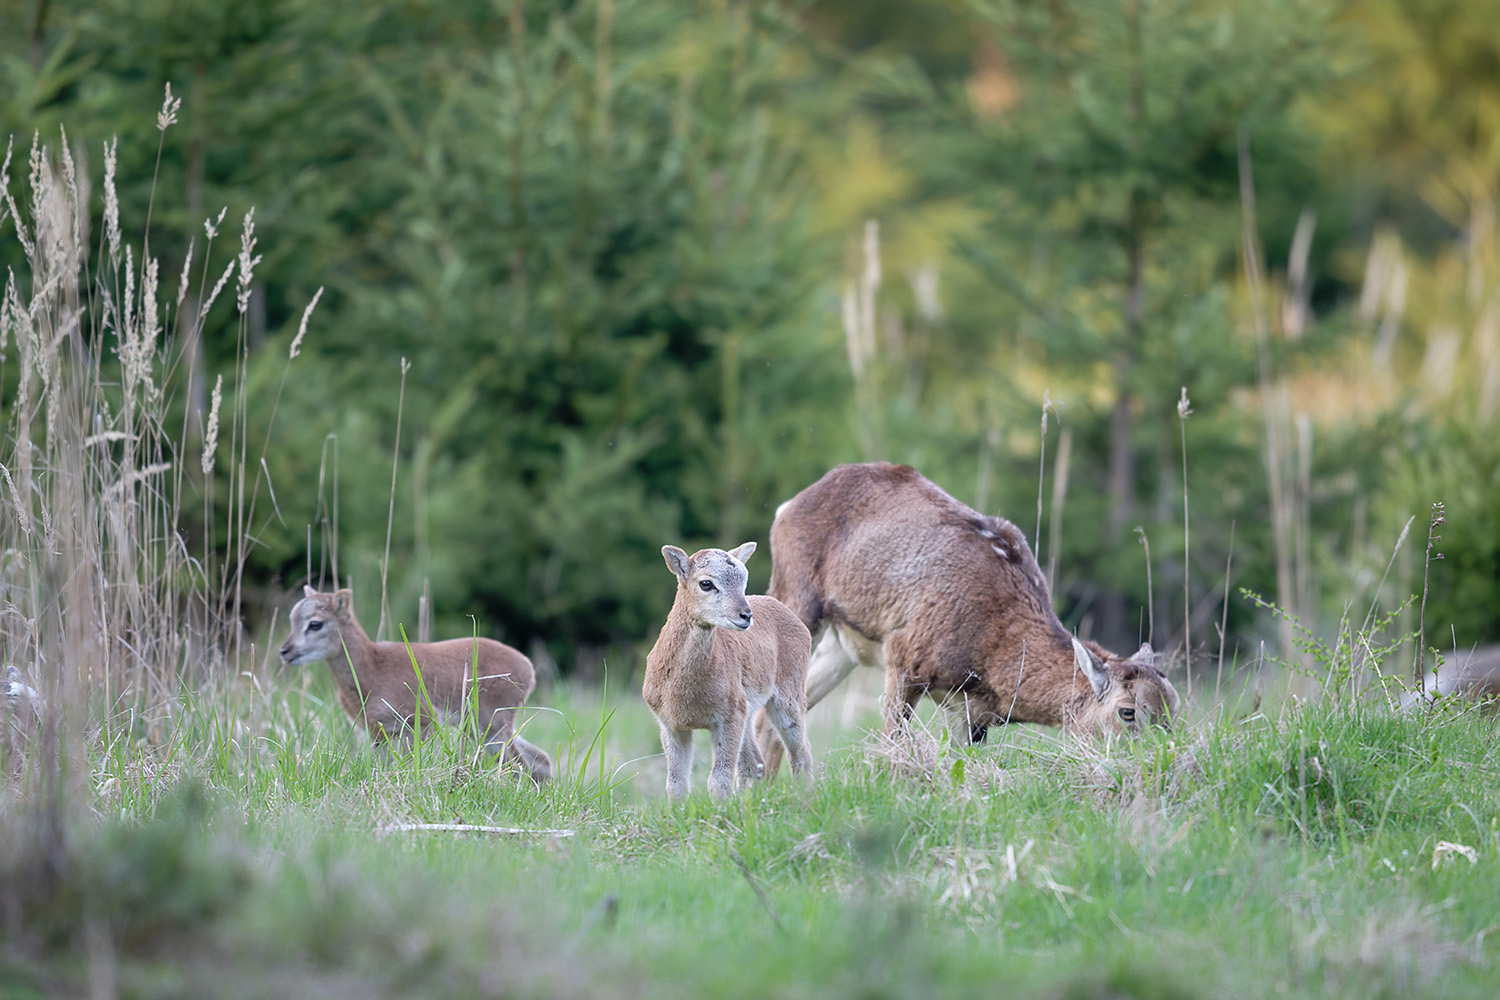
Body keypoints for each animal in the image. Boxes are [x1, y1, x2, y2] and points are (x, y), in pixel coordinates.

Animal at [642, 542, 816, 803]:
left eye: (744, 579)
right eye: (706, 583)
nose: (746, 615)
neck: (684, 696)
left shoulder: (729, 714)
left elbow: (719, 779)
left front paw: (720, 810)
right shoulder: (670, 725)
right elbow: (675, 784)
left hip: (790, 692)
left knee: (801, 751)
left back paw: (804, 797)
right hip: (749, 711)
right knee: (755, 765)